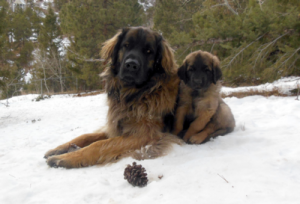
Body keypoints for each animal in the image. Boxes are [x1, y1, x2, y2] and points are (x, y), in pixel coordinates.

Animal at [44, 26, 180, 168]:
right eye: (126, 45)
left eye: (148, 51)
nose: (131, 65)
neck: (133, 94)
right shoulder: (114, 125)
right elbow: (86, 136)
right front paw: (59, 149)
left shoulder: (145, 135)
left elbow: (99, 145)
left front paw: (65, 158)